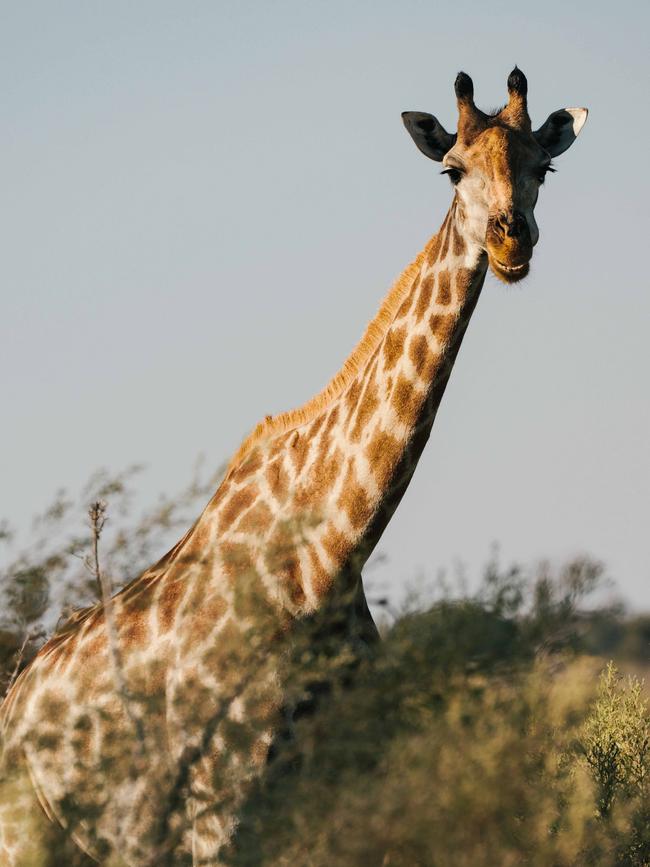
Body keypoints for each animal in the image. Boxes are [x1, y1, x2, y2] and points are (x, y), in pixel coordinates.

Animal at [0, 69, 584, 867]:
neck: (325, 562)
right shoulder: (222, 809)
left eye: (543, 168)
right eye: (451, 170)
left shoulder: (344, 796)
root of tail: (14, 700)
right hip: (26, 832)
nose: (509, 240)